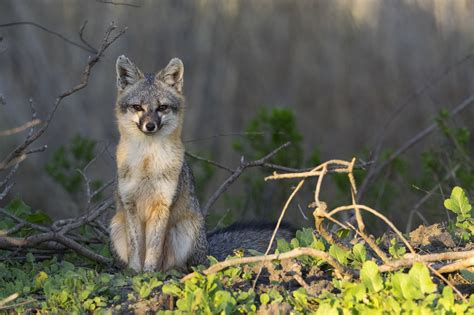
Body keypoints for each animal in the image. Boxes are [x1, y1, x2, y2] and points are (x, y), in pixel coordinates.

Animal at [110, 56, 292, 274]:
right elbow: (136, 248)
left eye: (162, 108)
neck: (147, 163)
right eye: (138, 107)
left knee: (182, 266)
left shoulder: (162, 205)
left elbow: (153, 250)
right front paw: (135, 272)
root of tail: (207, 248)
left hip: (184, 231)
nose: (150, 126)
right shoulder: (130, 205)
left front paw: (149, 273)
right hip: (116, 226)